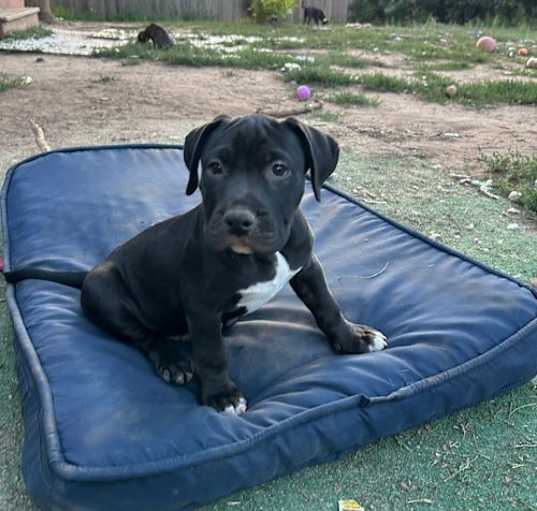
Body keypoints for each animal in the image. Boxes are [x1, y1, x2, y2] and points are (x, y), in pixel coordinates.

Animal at [6, 115, 388, 416]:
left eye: (278, 170)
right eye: (215, 168)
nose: (237, 220)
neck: (260, 256)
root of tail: (89, 272)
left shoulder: (308, 268)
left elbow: (326, 305)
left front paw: (353, 337)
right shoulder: (202, 306)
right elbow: (211, 352)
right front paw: (221, 394)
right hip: (105, 292)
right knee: (144, 335)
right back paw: (173, 360)